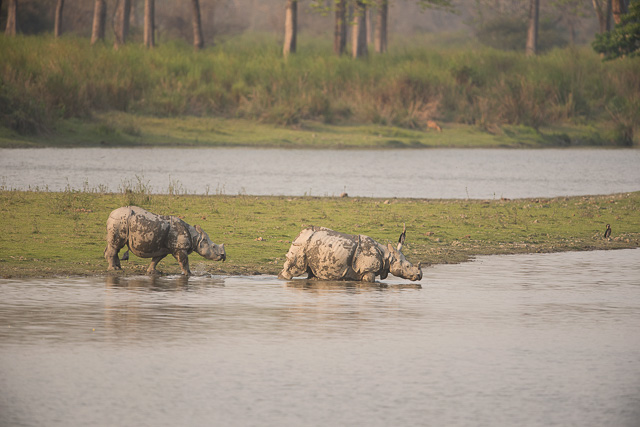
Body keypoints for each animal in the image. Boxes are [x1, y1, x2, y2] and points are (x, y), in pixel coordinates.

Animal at [278, 226, 422, 282]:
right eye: (407, 266)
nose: (420, 275)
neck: (388, 255)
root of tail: (299, 234)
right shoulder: (368, 269)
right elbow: (371, 280)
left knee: (311, 272)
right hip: (301, 246)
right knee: (294, 269)